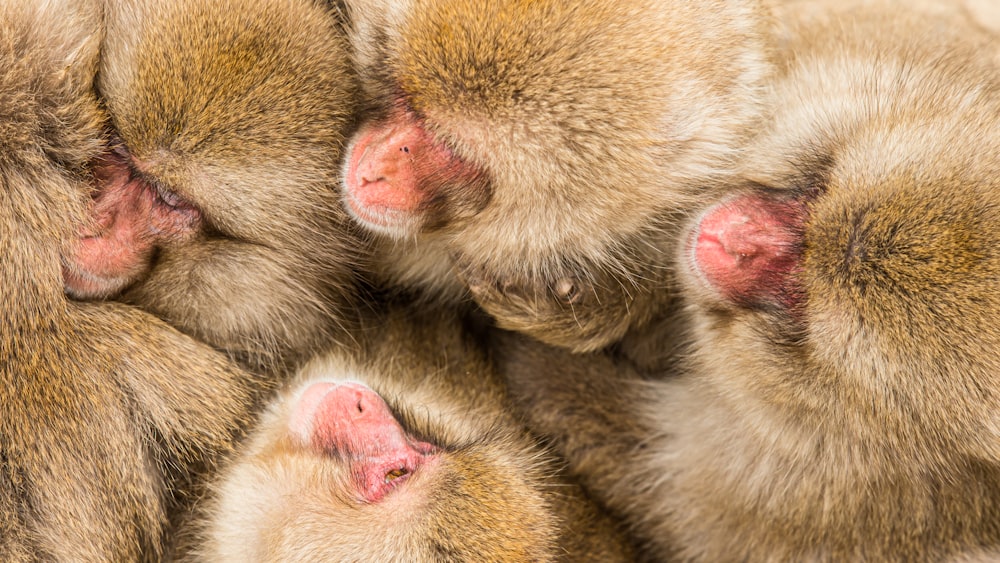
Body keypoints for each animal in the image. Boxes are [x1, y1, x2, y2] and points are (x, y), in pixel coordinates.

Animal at [498, 3, 1000, 560]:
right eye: (816, 187)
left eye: (800, 303)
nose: (736, 239)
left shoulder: (837, 494)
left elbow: (670, 493)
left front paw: (541, 359)